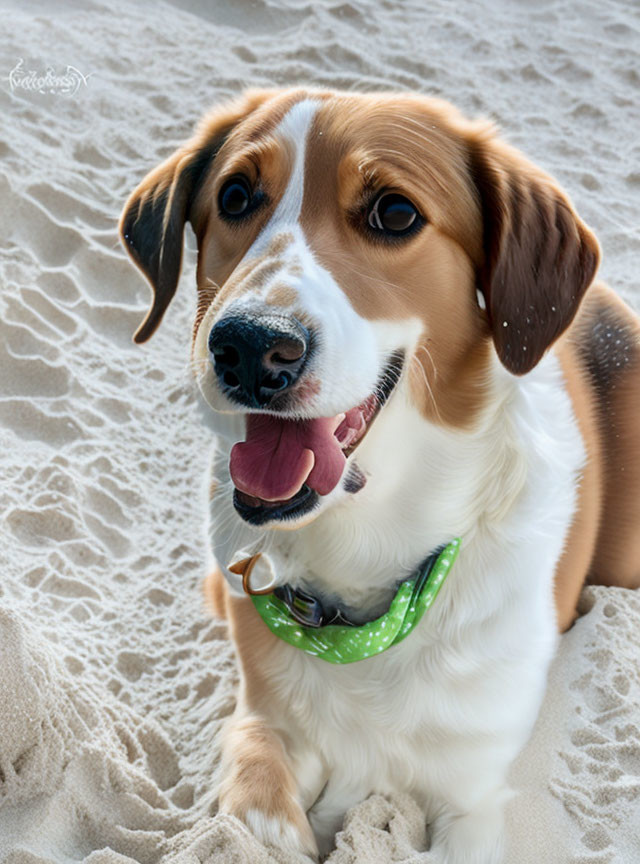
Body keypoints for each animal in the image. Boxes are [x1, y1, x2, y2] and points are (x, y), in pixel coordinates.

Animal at [120, 91, 640, 860]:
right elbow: (254, 798)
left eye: (394, 214)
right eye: (236, 196)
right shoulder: (263, 719)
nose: (249, 347)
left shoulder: (472, 798)